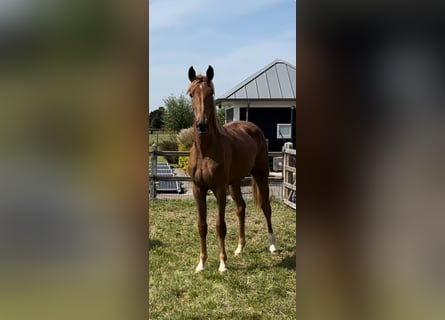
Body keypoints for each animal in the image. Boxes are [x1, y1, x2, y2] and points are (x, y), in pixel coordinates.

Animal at [186, 65, 276, 272]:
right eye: (191, 94)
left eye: (211, 93)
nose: (202, 125)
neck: (205, 151)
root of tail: (253, 127)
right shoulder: (198, 189)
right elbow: (202, 226)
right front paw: (201, 263)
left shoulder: (219, 190)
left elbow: (220, 226)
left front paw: (222, 264)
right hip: (234, 183)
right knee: (241, 208)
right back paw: (240, 247)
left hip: (261, 175)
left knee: (266, 207)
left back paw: (272, 245)